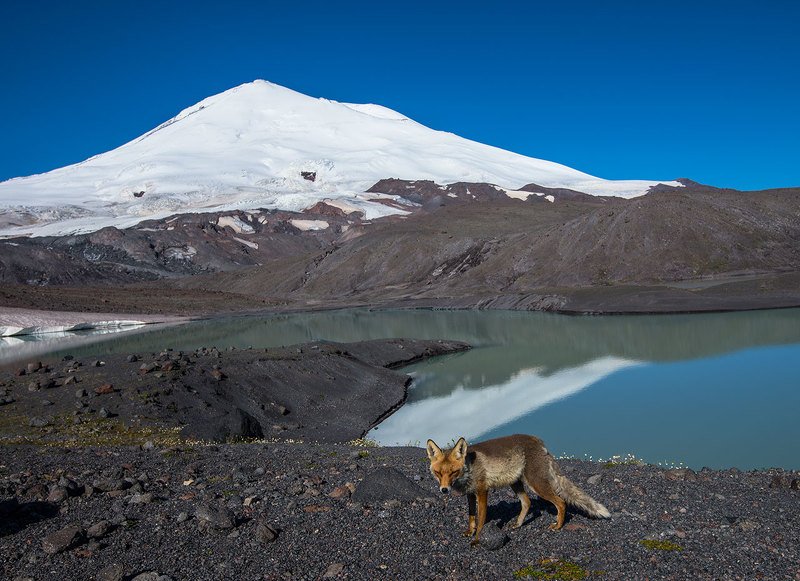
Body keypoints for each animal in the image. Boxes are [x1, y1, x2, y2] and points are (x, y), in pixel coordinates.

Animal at [426, 434, 611, 545]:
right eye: (438, 472)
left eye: (453, 472)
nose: (444, 490)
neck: (468, 469)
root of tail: (538, 441)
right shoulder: (470, 494)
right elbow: (471, 517)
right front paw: (469, 532)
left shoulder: (482, 491)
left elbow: (481, 520)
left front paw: (477, 539)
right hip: (516, 483)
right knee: (527, 502)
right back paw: (518, 524)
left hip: (536, 484)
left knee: (561, 502)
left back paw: (558, 526)